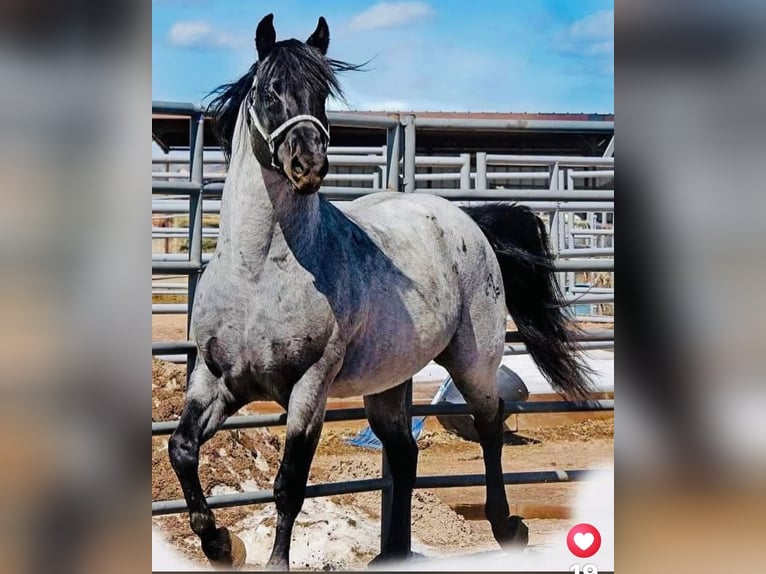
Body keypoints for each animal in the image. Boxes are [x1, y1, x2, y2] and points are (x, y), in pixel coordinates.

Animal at [168, 13, 594, 570]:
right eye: (267, 91)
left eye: (323, 91)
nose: (308, 164)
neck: (257, 274)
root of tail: (466, 220)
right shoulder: (219, 377)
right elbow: (181, 448)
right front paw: (216, 543)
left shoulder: (310, 387)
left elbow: (289, 485)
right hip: (388, 381)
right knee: (405, 453)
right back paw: (392, 553)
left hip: (473, 362)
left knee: (489, 425)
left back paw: (507, 528)